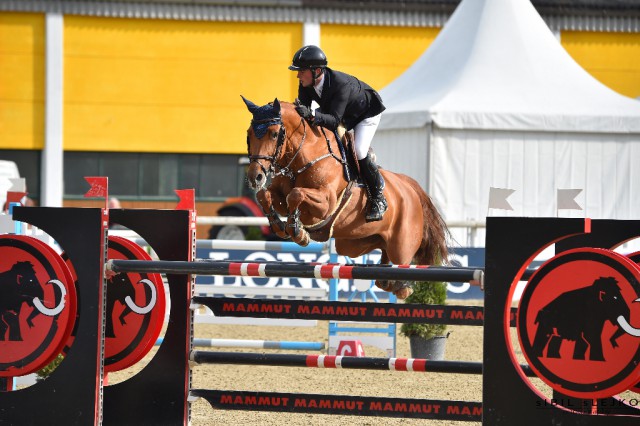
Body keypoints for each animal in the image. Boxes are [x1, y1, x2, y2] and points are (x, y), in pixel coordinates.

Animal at [241, 96, 450, 298]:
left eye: (274, 134)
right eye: (249, 134)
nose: (255, 177)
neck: (304, 156)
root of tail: (410, 187)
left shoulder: (325, 204)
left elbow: (295, 194)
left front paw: (297, 231)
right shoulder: (279, 195)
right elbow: (264, 195)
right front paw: (278, 224)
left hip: (401, 246)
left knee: (402, 277)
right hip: (354, 244)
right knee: (383, 273)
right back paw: (387, 280)